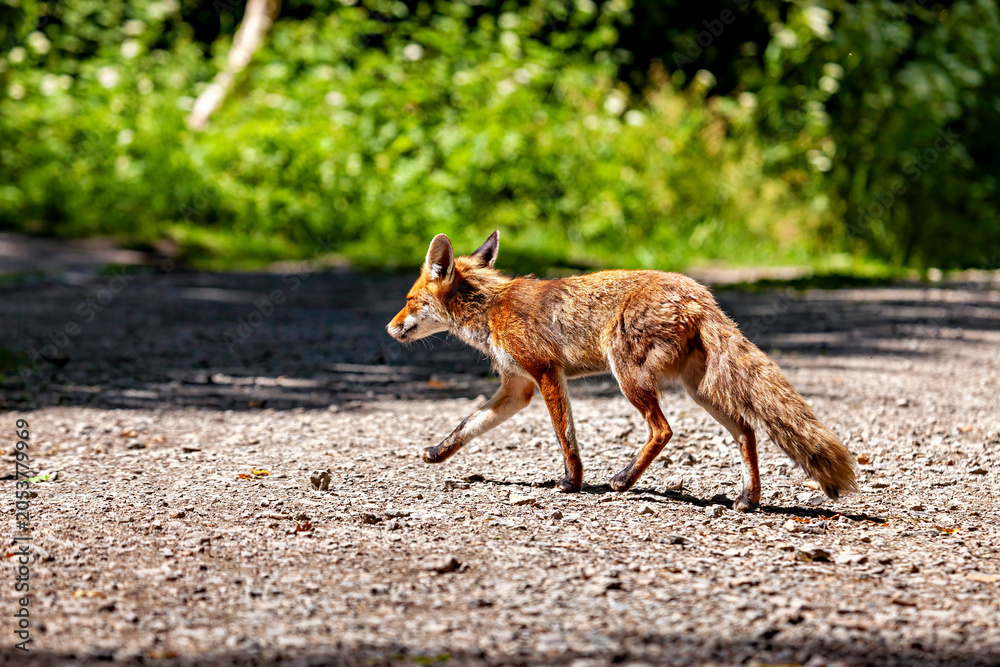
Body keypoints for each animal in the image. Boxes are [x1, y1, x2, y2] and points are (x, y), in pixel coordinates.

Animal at [385, 231, 857, 511]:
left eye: (407, 300)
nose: (388, 328)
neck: (489, 308)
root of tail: (701, 294)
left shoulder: (545, 371)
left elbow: (565, 436)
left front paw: (572, 482)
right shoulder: (517, 387)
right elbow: (467, 425)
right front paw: (437, 452)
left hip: (627, 375)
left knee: (664, 430)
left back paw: (626, 479)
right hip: (698, 390)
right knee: (746, 430)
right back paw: (748, 497)